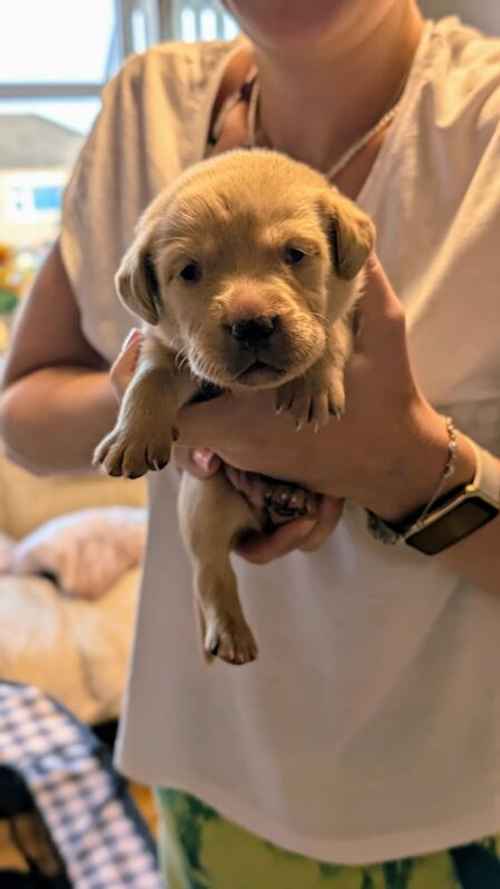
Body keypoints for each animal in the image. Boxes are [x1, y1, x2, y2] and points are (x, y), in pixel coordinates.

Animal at [94, 149, 376, 664]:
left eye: (295, 254)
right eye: (189, 271)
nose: (253, 324)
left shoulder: (352, 313)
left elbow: (329, 334)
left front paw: (312, 383)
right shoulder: (167, 346)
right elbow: (151, 378)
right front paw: (132, 435)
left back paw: (290, 496)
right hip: (204, 499)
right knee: (211, 570)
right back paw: (230, 632)